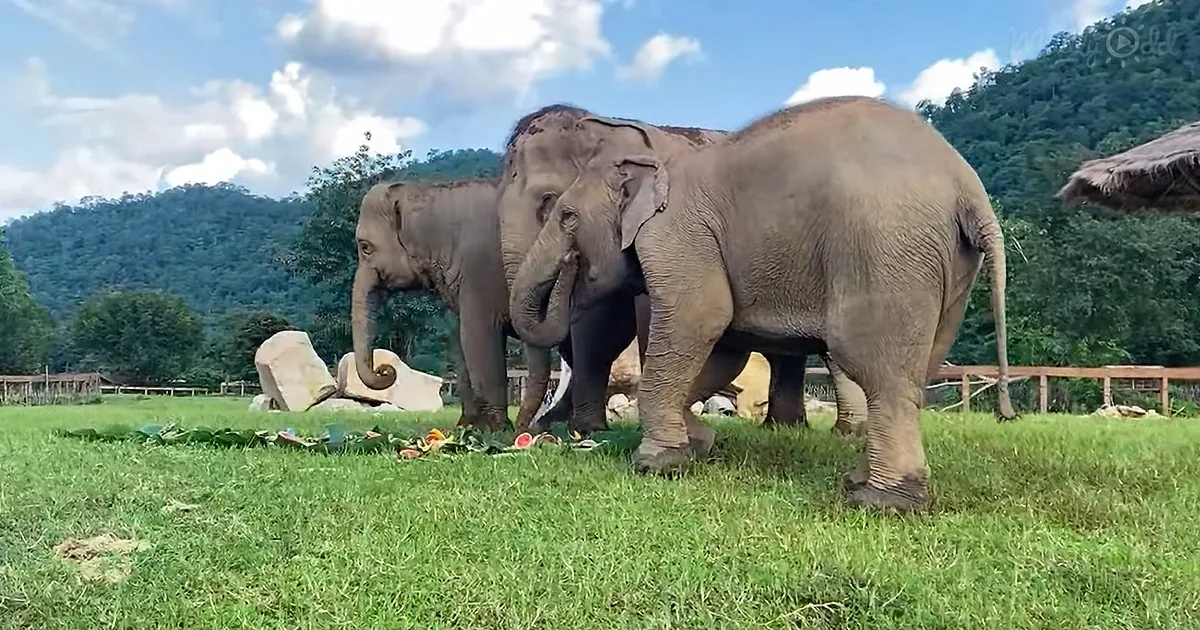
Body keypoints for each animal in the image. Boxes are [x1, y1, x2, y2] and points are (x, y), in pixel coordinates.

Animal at [350, 177, 553, 431]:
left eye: (365, 247)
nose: (384, 370)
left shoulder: (481, 271)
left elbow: (477, 336)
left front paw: (497, 429)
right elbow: (460, 341)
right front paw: (468, 427)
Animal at [498, 105, 870, 441]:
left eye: (550, 202)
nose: (524, 432)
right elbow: (603, 324)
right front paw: (584, 429)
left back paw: (845, 431)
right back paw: (786, 426)